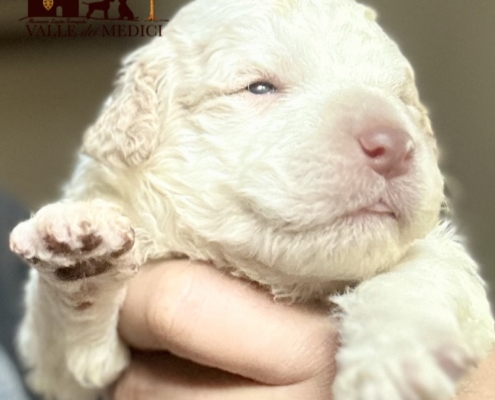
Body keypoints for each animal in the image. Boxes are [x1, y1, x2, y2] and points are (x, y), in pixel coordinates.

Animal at [9, 0, 494, 400]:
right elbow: (65, 348)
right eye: (258, 87)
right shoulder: (67, 378)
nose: (393, 144)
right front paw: (76, 253)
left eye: (402, 100)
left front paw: (396, 359)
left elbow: (425, 264)